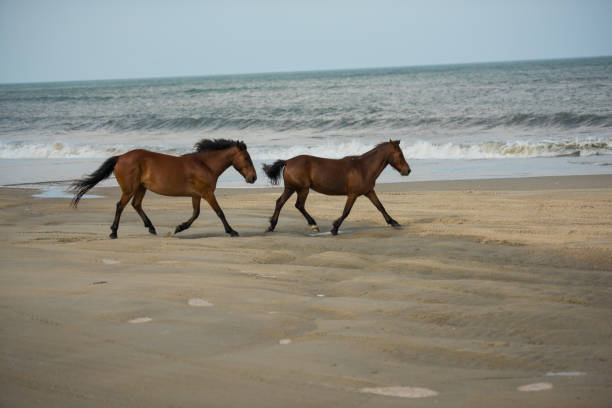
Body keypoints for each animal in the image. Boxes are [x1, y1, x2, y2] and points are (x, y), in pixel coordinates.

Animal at [71, 139, 256, 237]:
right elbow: (219, 212)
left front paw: (179, 227)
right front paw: (232, 231)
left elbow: (195, 214)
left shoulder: (197, 195)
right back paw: (114, 233)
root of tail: (120, 157)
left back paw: (151, 228)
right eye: (247, 158)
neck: (205, 165)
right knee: (120, 206)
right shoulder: (207, 193)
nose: (253, 178)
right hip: (130, 189)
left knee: (136, 205)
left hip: (141, 188)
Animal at [262, 142, 412, 234]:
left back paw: (271, 226)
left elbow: (380, 207)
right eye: (400, 155)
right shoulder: (353, 194)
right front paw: (334, 228)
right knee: (298, 205)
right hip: (302, 189)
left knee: (280, 202)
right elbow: (346, 212)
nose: (408, 171)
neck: (363, 168)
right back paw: (313, 225)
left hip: (291, 188)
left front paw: (394, 222)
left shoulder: (369, 192)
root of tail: (287, 161)